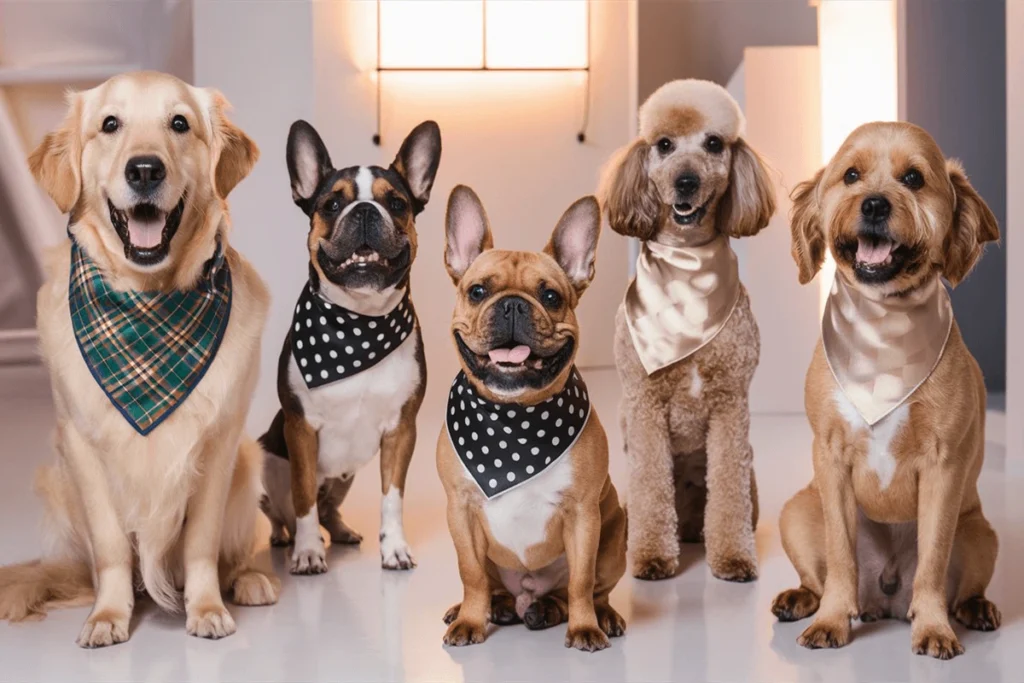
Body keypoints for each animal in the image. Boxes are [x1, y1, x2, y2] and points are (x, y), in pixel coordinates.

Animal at [0, 72, 278, 651]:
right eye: (110, 124)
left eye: (179, 123)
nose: (145, 169)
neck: (148, 303)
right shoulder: (82, 445)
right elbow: (110, 548)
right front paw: (108, 616)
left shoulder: (219, 444)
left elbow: (201, 544)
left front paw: (206, 607)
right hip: (56, 480)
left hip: (250, 460)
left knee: (235, 553)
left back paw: (249, 580)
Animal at [598, 80, 770, 581]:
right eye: (664, 145)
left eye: (713, 143)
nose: (686, 181)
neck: (688, 266)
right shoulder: (644, 404)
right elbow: (652, 488)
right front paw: (652, 557)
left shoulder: (731, 404)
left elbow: (728, 492)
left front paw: (733, 558)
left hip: (751, 482)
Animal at [774, 120, 999, 659]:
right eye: (851, 175)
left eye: (914, 178)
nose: (875, 204)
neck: (883, 323)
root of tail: (887, 595)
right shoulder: (831, 460)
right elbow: (839, 554)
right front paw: (833, 618)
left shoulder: (944, 467)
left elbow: (934, 559)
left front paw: (934, 626)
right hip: (797, 511)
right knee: (820, 575)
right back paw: (803, 599)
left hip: (981, 532)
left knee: (961, 583)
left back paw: (973, 609)